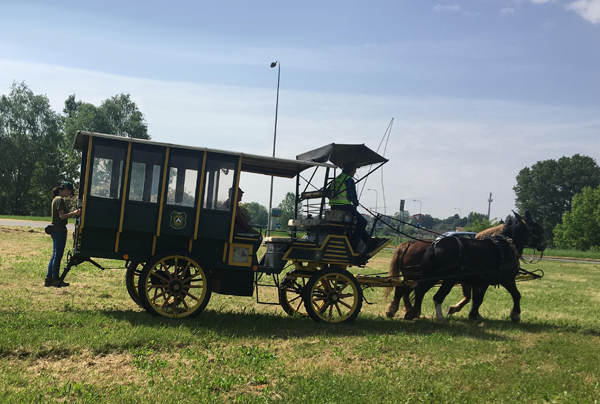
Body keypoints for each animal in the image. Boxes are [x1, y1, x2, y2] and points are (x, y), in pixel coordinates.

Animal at [406, 211, 548, 322]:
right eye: (538, 228)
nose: (544, 244)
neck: (507, 245)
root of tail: (435, 245)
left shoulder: (483, 281)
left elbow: (478, 299)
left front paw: (473, 315)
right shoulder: (507, 279)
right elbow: (516, 295)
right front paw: (515, 315)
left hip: (432, 276)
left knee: (420, 290)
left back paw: (415, 312)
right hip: (448, 279)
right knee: (437, 296)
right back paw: (440, 318)